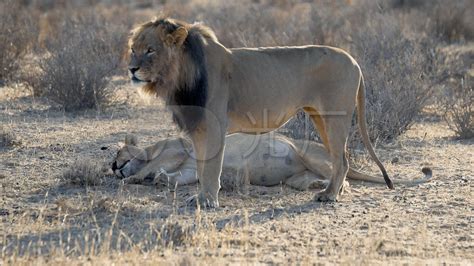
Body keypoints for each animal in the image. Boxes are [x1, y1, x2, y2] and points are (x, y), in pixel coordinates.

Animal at [127, 18, 392, 206]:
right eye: (133, 49)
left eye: (150, 50)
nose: (131, 69)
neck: (179, 77)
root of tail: (354, 60)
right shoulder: (198, 128)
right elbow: (200, 167)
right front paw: (201, 197)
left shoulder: (214, 126)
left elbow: (211, 167)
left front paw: (208, 201)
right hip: (320, 118)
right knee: (339, 159)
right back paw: (331, 192)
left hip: (335, 117)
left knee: (342, 159)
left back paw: (328, 196)